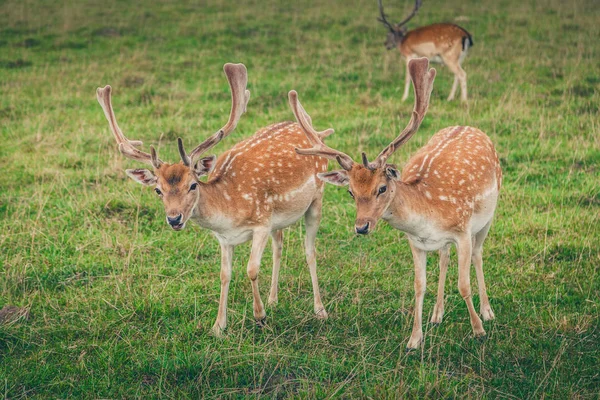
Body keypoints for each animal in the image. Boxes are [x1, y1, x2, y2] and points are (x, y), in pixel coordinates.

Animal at [96, 63, 330, 338]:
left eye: (193, 184)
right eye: (158, 190)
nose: (174, 219)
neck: (229, 211)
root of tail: (314, 132)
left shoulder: (261, 223)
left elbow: (251, 269)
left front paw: (260, 317)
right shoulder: (225, 238)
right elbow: (224, 274)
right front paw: (218, 326)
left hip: (317, 198)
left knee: (310, 251)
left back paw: (320, 310)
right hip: (280, 217)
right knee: (279, 245)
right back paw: (274, 299)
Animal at [290, 57, 502, 348]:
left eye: (381, 188)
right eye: (351, 192)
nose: (361, 227)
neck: (428, 214)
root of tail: (469, 126)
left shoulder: (463, 231)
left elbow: (463, 283)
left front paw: (478, 329)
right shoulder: (416, 242)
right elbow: (419, 285)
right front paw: (414, 339)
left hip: (489, 214)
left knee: (479, 254)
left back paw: (487, 311)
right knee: (444, 257)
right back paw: (437, 314)